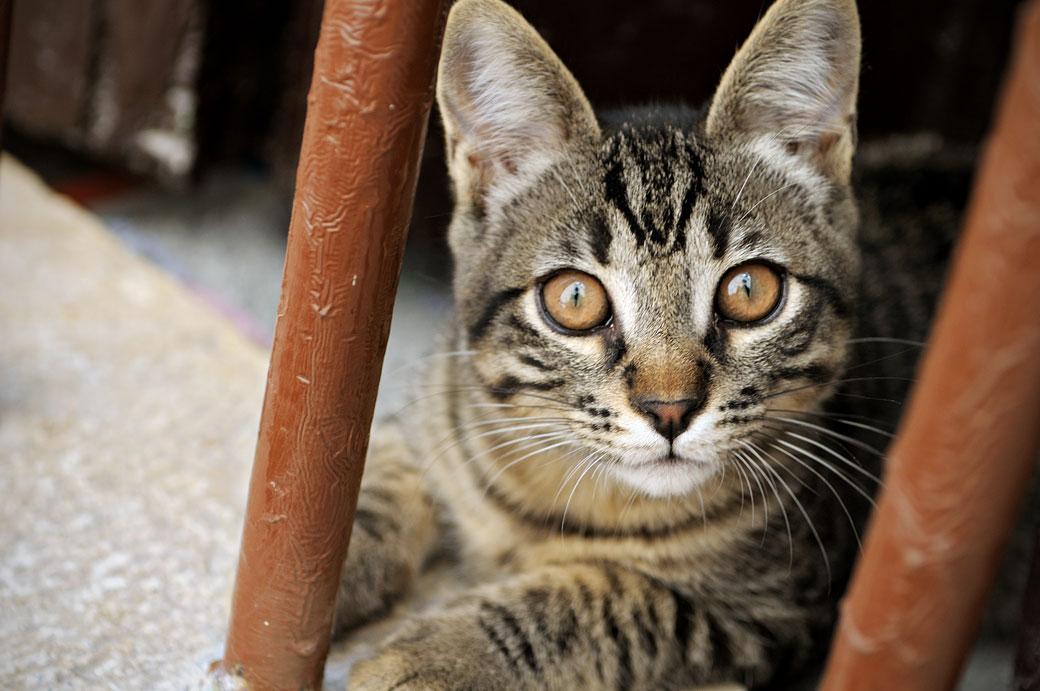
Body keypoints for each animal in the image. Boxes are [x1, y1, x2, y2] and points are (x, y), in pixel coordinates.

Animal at [334, 0, 944, 686]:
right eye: (575, 299)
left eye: (750, 290)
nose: (669, 410)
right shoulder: (434, 418)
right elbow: (367, 488)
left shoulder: (776, 607)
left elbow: (609, 598)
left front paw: (438, 654)